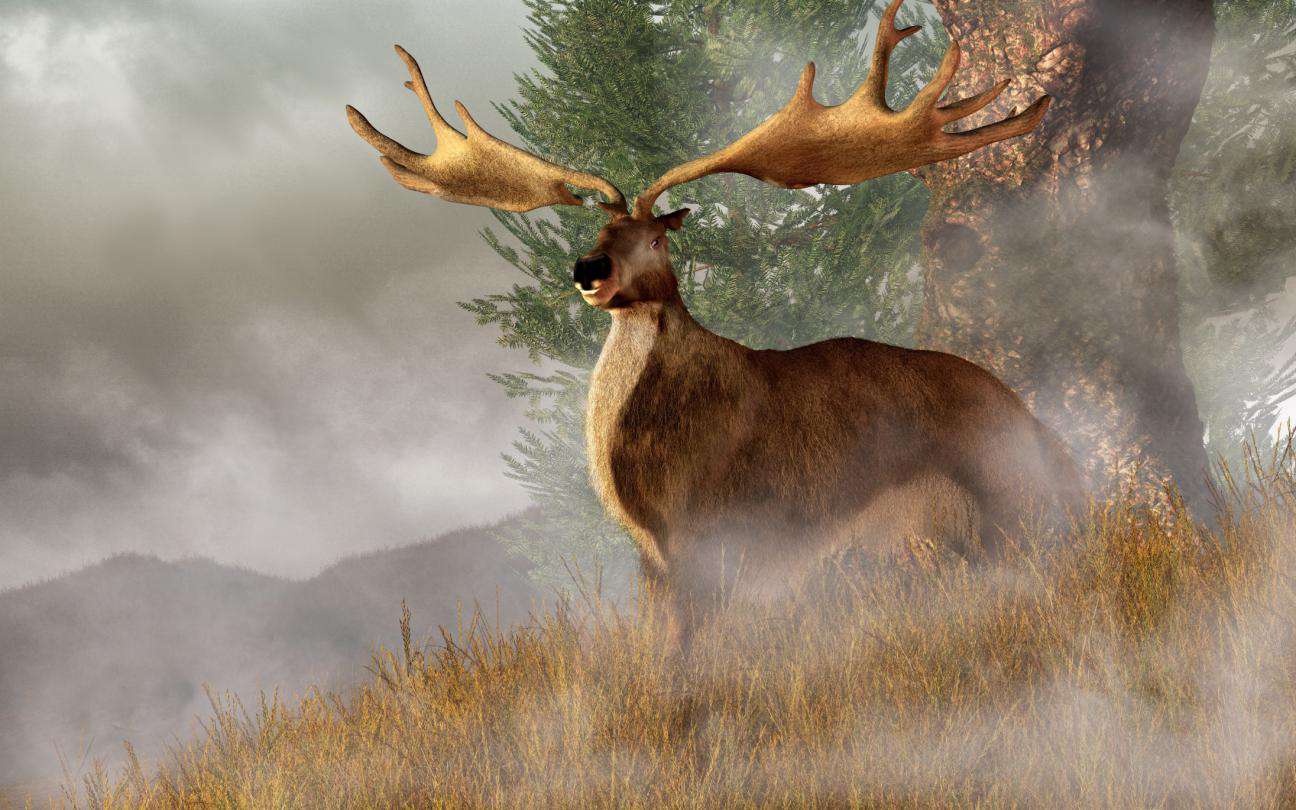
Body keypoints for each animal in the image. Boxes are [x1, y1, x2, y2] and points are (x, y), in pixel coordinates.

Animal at [347, 0, 1084, 651]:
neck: (648, 458)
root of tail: (1040, 430)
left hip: (987, 506)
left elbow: (691, 647)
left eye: (654, 239)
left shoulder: (707, 529)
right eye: (598, 231)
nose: (587, 269)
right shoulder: (654, 554)